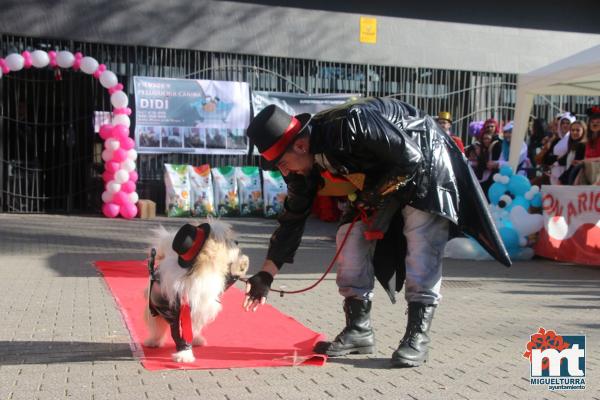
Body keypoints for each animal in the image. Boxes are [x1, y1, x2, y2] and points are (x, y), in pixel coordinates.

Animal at [143, 219, 248, 362]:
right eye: (226, 240)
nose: (237, 242)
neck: (198, 269)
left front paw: (241, 265)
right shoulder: (179, 311)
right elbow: (180, 335)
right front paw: (184, 354)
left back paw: (197, 339)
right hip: (155, 311)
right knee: (157, 328)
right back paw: (153, 341)